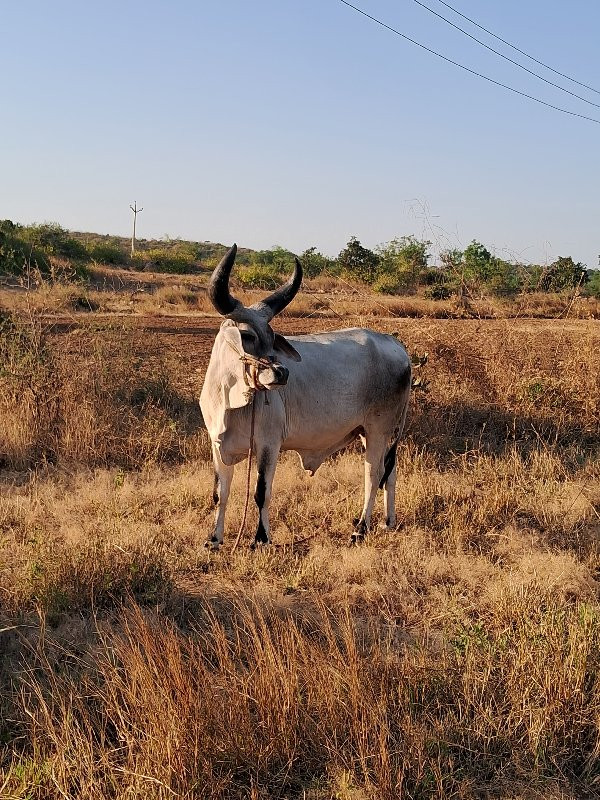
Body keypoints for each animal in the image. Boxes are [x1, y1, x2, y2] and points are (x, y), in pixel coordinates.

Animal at [199, 244, 410, 552]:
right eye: (247, 335)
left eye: (272, 335)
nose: (282, 372)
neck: (231, 400)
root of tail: (396, 344)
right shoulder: (217, 446)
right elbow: (219, 493)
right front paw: (214, 539)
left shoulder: (268, 445)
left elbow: (261, 492)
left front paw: (261, 539)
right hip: (371, 433)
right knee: (389, 472)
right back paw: (387, 521)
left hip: (379, 430)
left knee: (373, 476)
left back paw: (360, 529)